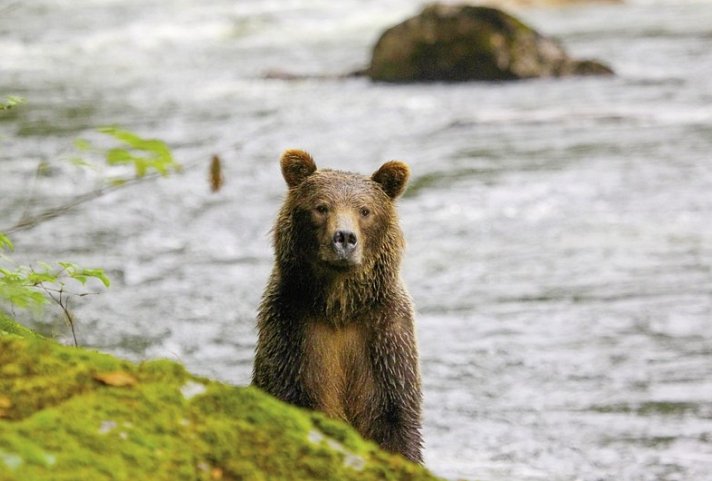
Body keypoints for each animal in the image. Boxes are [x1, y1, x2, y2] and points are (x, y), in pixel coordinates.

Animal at [253, 149, 422, 462]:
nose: (344, 238)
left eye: (365, 210)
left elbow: (396, 423)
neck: (338, 308)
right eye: (321, 207)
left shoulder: (386, 343)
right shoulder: (292, 337)